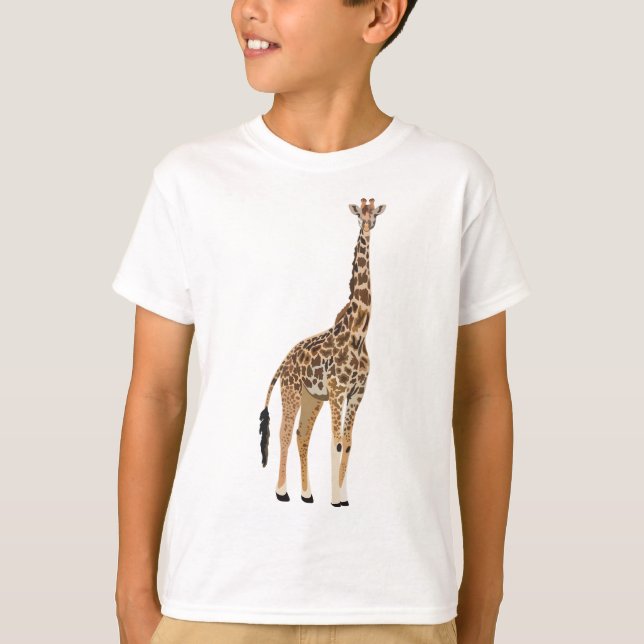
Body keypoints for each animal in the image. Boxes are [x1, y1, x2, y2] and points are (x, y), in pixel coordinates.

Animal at [258, 197, 386, 507]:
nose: (367, 227)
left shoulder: (357, 392)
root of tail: (284, 362)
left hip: (312, 398)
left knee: (301, 434)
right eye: (359, 214)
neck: (358, 333)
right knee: (284, 433)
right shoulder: (338, 390)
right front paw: (336, 499)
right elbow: (336, 442)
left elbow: (348, 443)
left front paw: (343, 497)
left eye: (375, 214)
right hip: (291, 391)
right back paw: (282, 492)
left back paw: (307, 494)